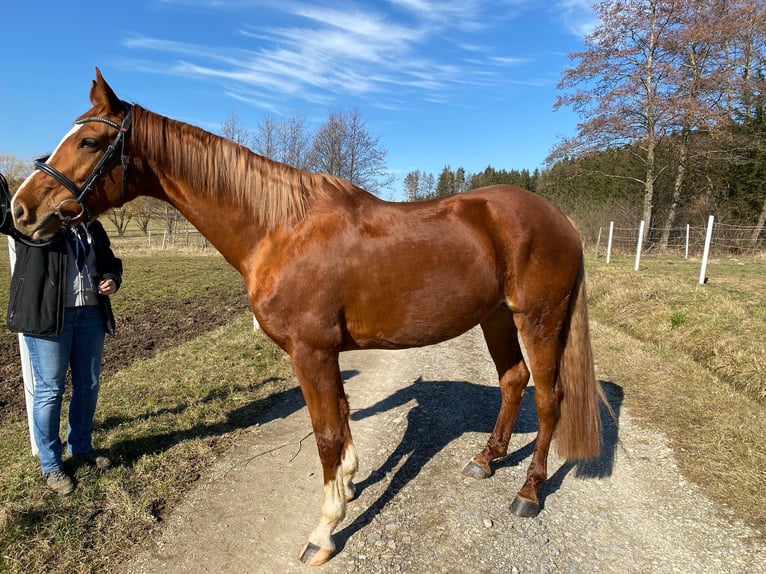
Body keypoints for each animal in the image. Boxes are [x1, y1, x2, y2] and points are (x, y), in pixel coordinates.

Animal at [9, 68, 604, 568]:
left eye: (89, 141)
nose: (20, 210)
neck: (278, 229)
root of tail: (562, 219)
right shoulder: (325, 352)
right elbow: (341, 416)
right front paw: (349, 484)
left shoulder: (310, 351)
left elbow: (325, 432)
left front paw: (325, 530)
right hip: (497, 319)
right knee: (513, 381)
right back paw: (485, 459)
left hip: (538, 320)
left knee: (549, 398)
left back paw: (527, 492)